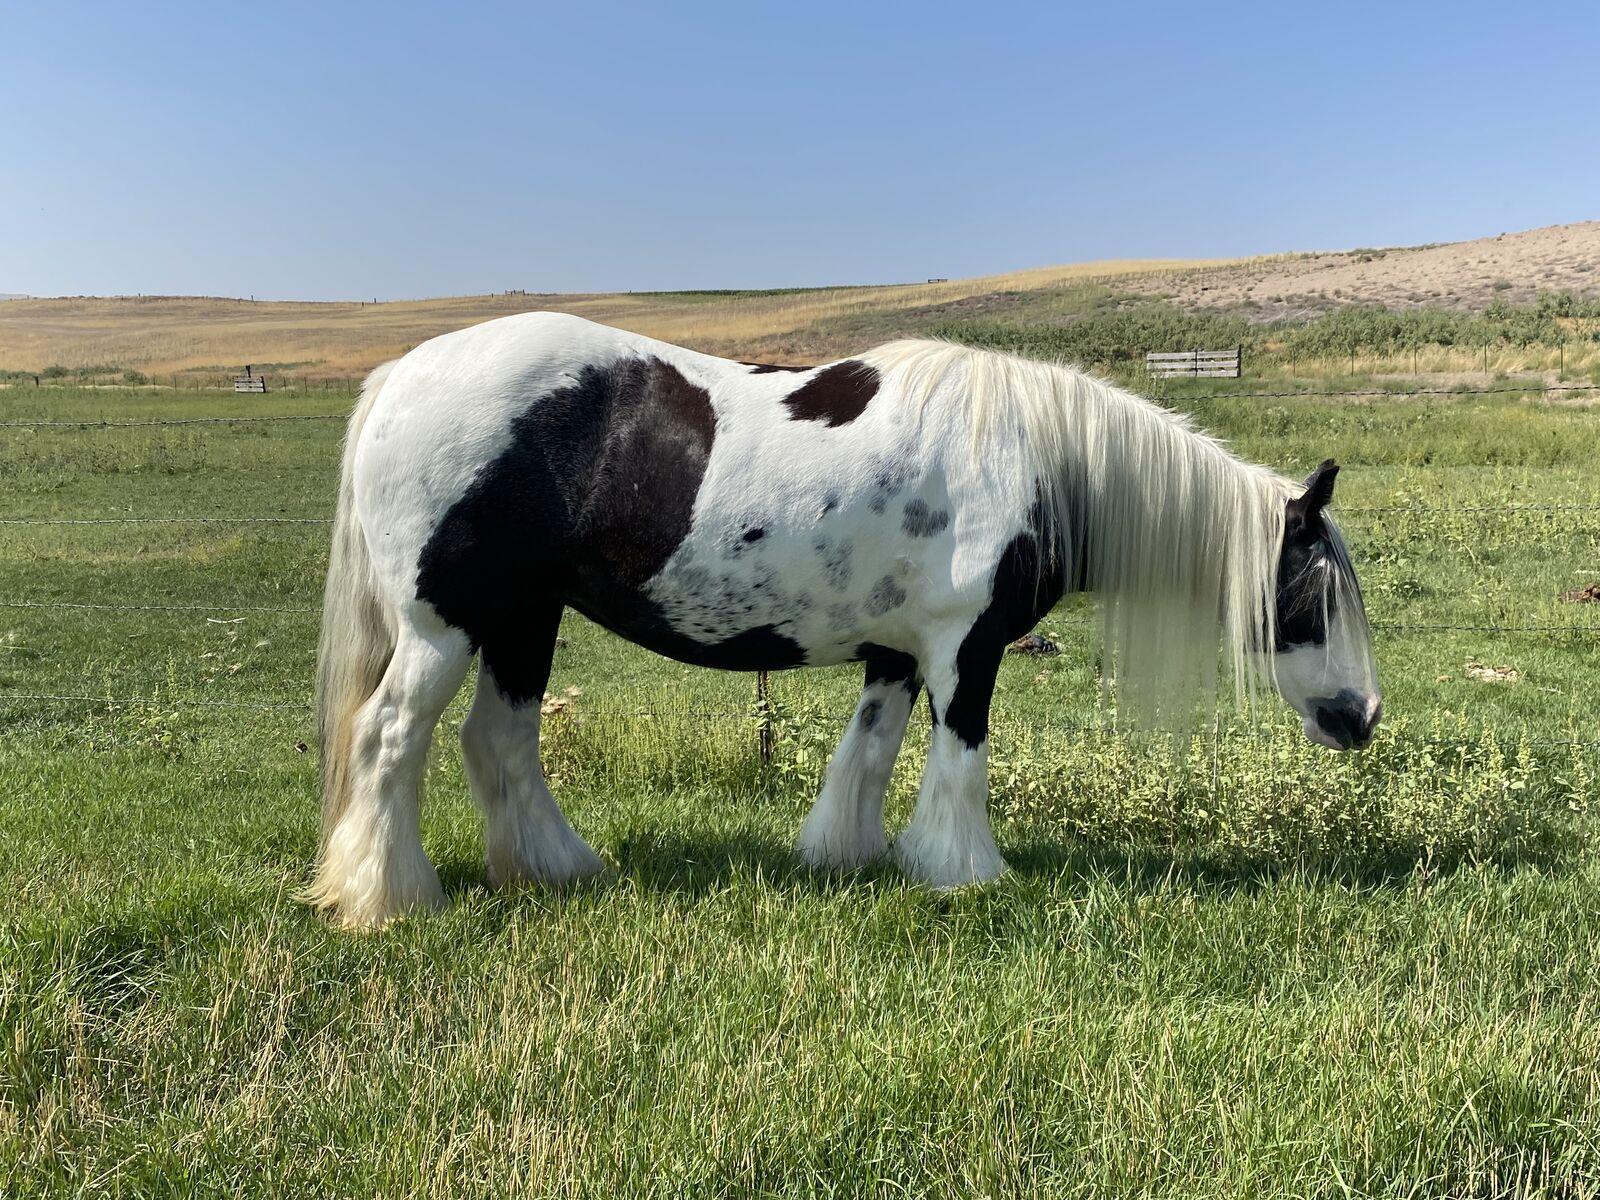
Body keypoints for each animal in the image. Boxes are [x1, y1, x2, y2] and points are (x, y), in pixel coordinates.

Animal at [306, 312, 1380, 929]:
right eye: (1315, 595)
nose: (1362, 718)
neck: (1038, 460)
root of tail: (400, 377)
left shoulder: (895, 656)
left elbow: (865, 756)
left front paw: (852, 857)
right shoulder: (964, 650)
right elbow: (959, 759)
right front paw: (965, 873)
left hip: (525, 618)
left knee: (500, 740)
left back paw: (557, 872)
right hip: (448, 625)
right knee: (389, 738)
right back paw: (388, 899)